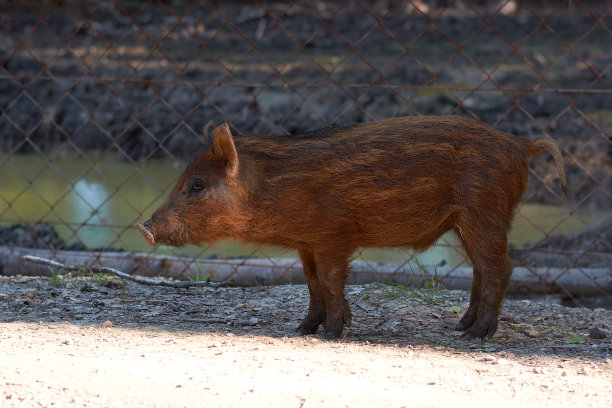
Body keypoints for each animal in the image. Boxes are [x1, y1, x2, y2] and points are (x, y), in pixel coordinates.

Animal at [136, 116, 568, 340]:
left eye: (196, 185)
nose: (145, 227)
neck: (272, 191)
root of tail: (521, 145)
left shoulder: (332, 237)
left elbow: (330, 280)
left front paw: (331, 332)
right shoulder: (307, 243)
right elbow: (311, 283)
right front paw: (302, 330)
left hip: (485, 211)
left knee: (500, 267)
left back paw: (475, 336)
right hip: (468, 221)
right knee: (481, 268)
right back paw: (458, 325)